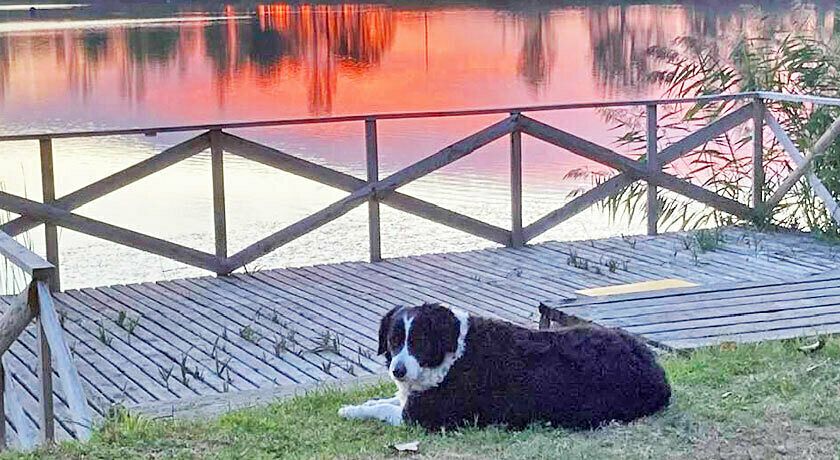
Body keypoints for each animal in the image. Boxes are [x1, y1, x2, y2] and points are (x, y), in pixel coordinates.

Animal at [338, 304, 672, 430]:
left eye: (419, 342)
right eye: (393, 341)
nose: (398, 371)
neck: (451, 351)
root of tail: (657, 375)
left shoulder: (422, 418)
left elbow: (384, 408)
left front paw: (351, 411)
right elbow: (385, 399)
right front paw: (363, 402)